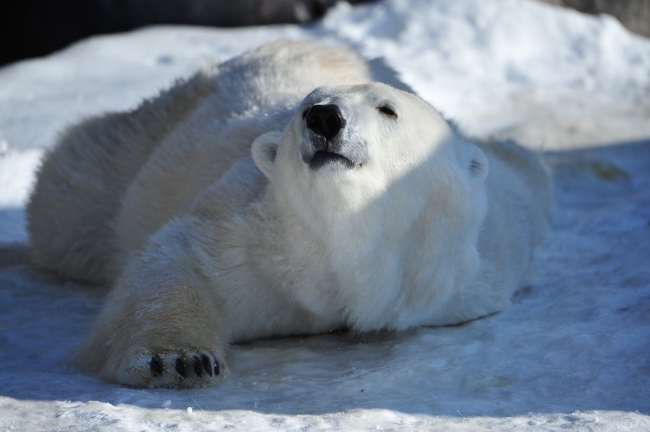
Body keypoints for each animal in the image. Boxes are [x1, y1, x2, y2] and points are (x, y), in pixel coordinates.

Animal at [27, 40, 548, 388]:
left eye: (388, 109)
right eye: (303, 109)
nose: (324, 117)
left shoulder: (468, 263)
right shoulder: (258, 240)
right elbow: (177, 260)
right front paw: (177, 361)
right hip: (148, 139)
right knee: (75, 194)